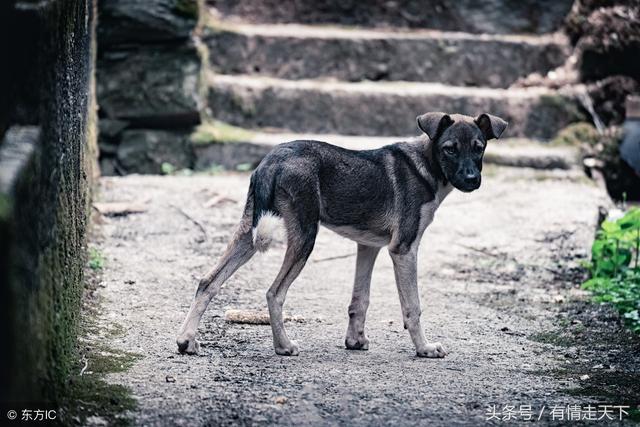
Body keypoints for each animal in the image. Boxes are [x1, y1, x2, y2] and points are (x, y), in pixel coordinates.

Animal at [175, 113, 504, 358]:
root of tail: (271, 160)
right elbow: (413, 306)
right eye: (450, 148)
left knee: (208, 282)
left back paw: (186, 341)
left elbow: (360, 300)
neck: (427, 165)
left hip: (248, 232)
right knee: (274, 292)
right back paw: (283, 346)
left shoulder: (368, 246)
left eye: (479, 147)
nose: (472, 180)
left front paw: (355, 341)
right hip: (304, 235)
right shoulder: (404, 248)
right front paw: (424, 348)